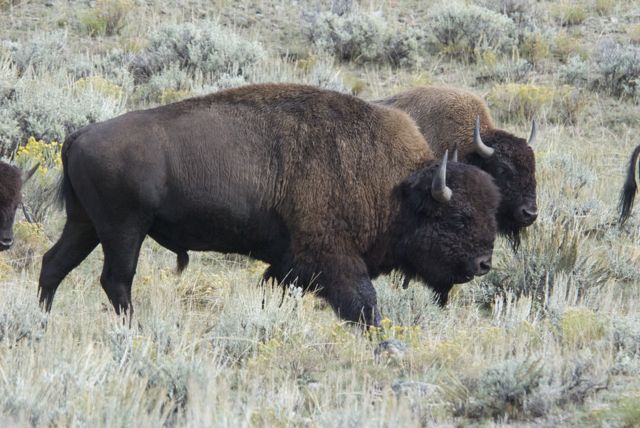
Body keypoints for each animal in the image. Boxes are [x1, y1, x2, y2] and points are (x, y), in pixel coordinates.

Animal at [38, 84, 500, 326]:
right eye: (459, 217)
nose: (483, 264)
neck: (395, 186)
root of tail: (79, 135)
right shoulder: (332, 258)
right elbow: (363, 304)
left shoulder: (288, 263)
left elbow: (274, 286)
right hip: (123, 229)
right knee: (116, 279)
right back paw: (133, 329)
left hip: (85, 224)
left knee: (54, 263)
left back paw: (42, 321)